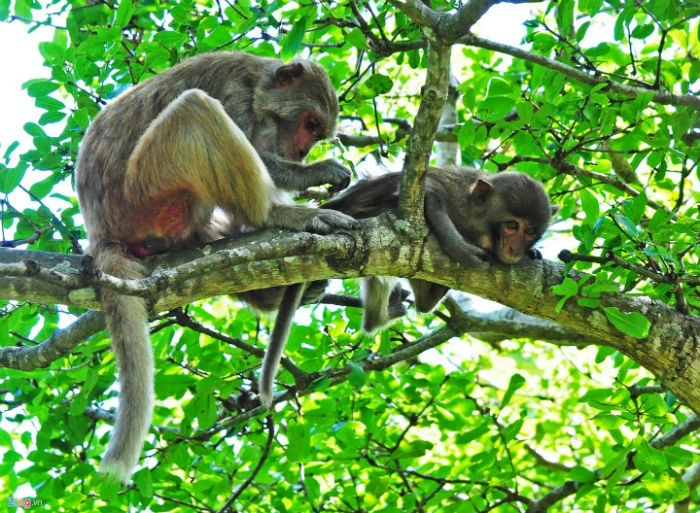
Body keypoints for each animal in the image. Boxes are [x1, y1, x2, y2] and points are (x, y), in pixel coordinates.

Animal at [78, 50, 356, 482]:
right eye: (310, 125)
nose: (300, 154)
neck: (259, 89)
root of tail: (101, 233)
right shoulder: (234, 96)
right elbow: (260, 156)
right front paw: (318, 172)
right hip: (146, 195)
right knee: (195, 111)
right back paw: (276, 215)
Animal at [258, 168, 556, 408]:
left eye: (530, 231)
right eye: (512, 225)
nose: (514, 249)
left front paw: (533, 252)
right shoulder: (454, 197)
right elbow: (427, 192)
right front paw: (459, 247)